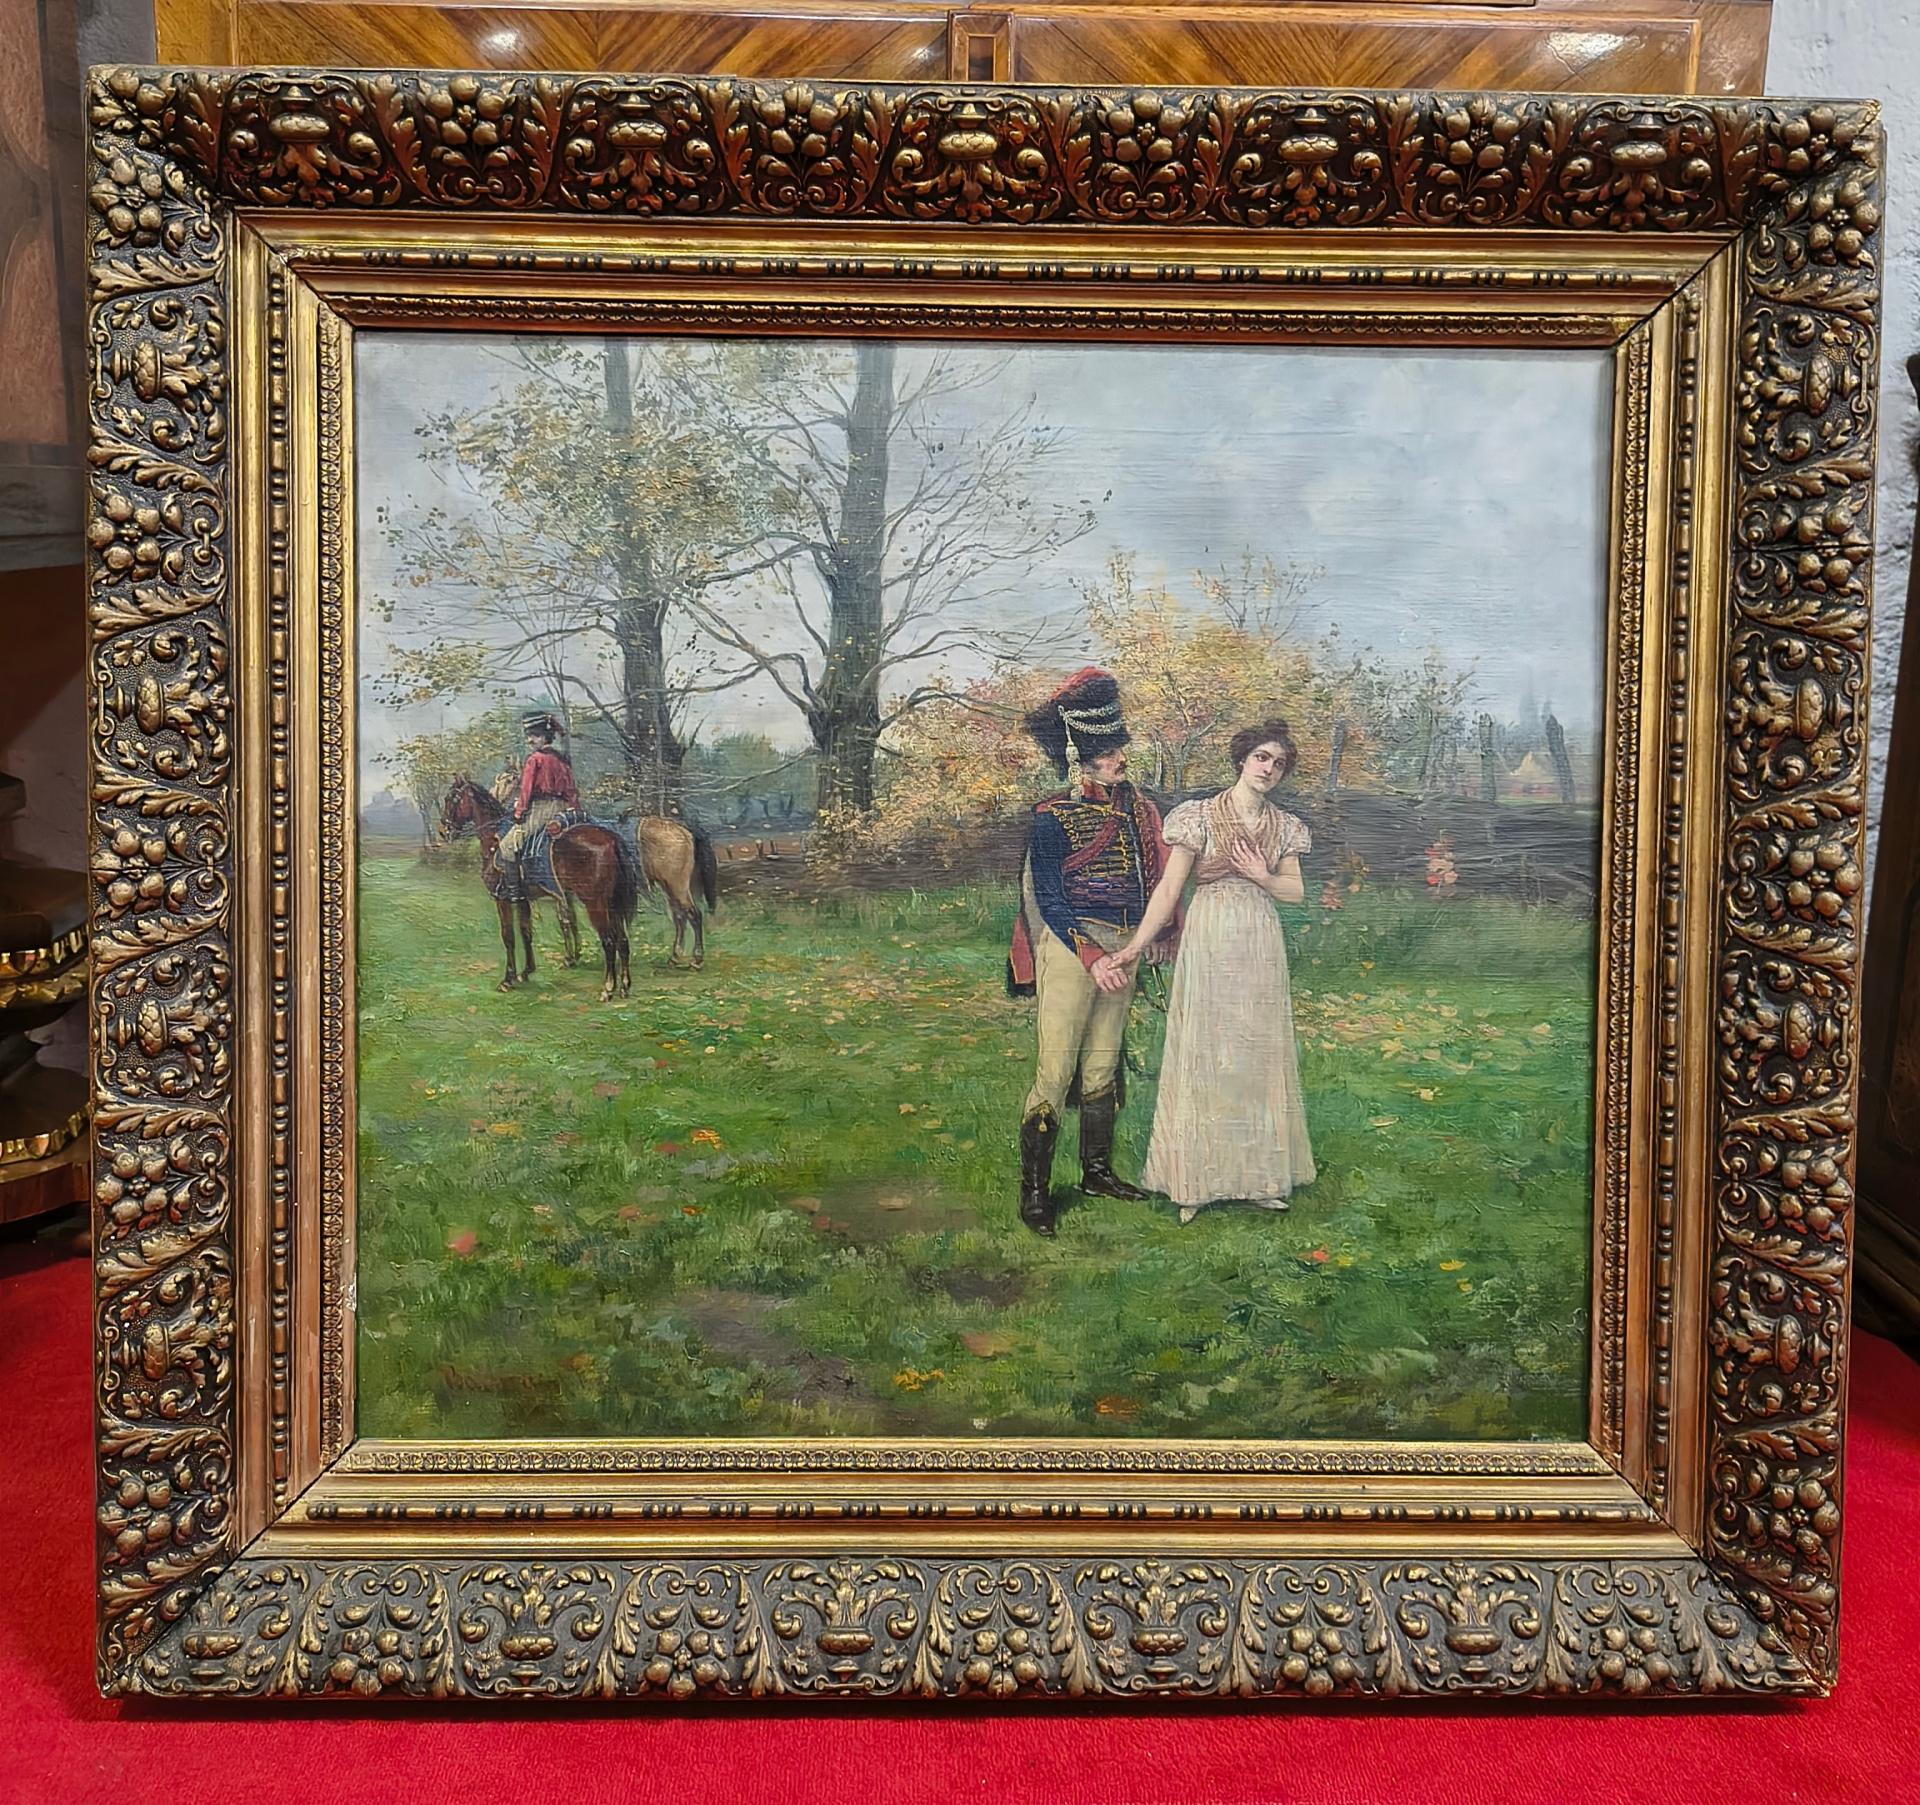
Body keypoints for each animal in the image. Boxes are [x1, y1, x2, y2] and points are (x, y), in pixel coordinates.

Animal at [440, 778, 639, 998]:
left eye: (451, 798)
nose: (444, 831)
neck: (494, 838)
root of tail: (612, 840)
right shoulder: (523, 899)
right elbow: (526, 932)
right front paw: (526, 971)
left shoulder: (502, 899)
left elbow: (508, 936)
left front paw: (507, 979)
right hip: (613, 903)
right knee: (623, 940)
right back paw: (624, 986)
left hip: (595, 903)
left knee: (609, 940)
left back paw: (608, 988)